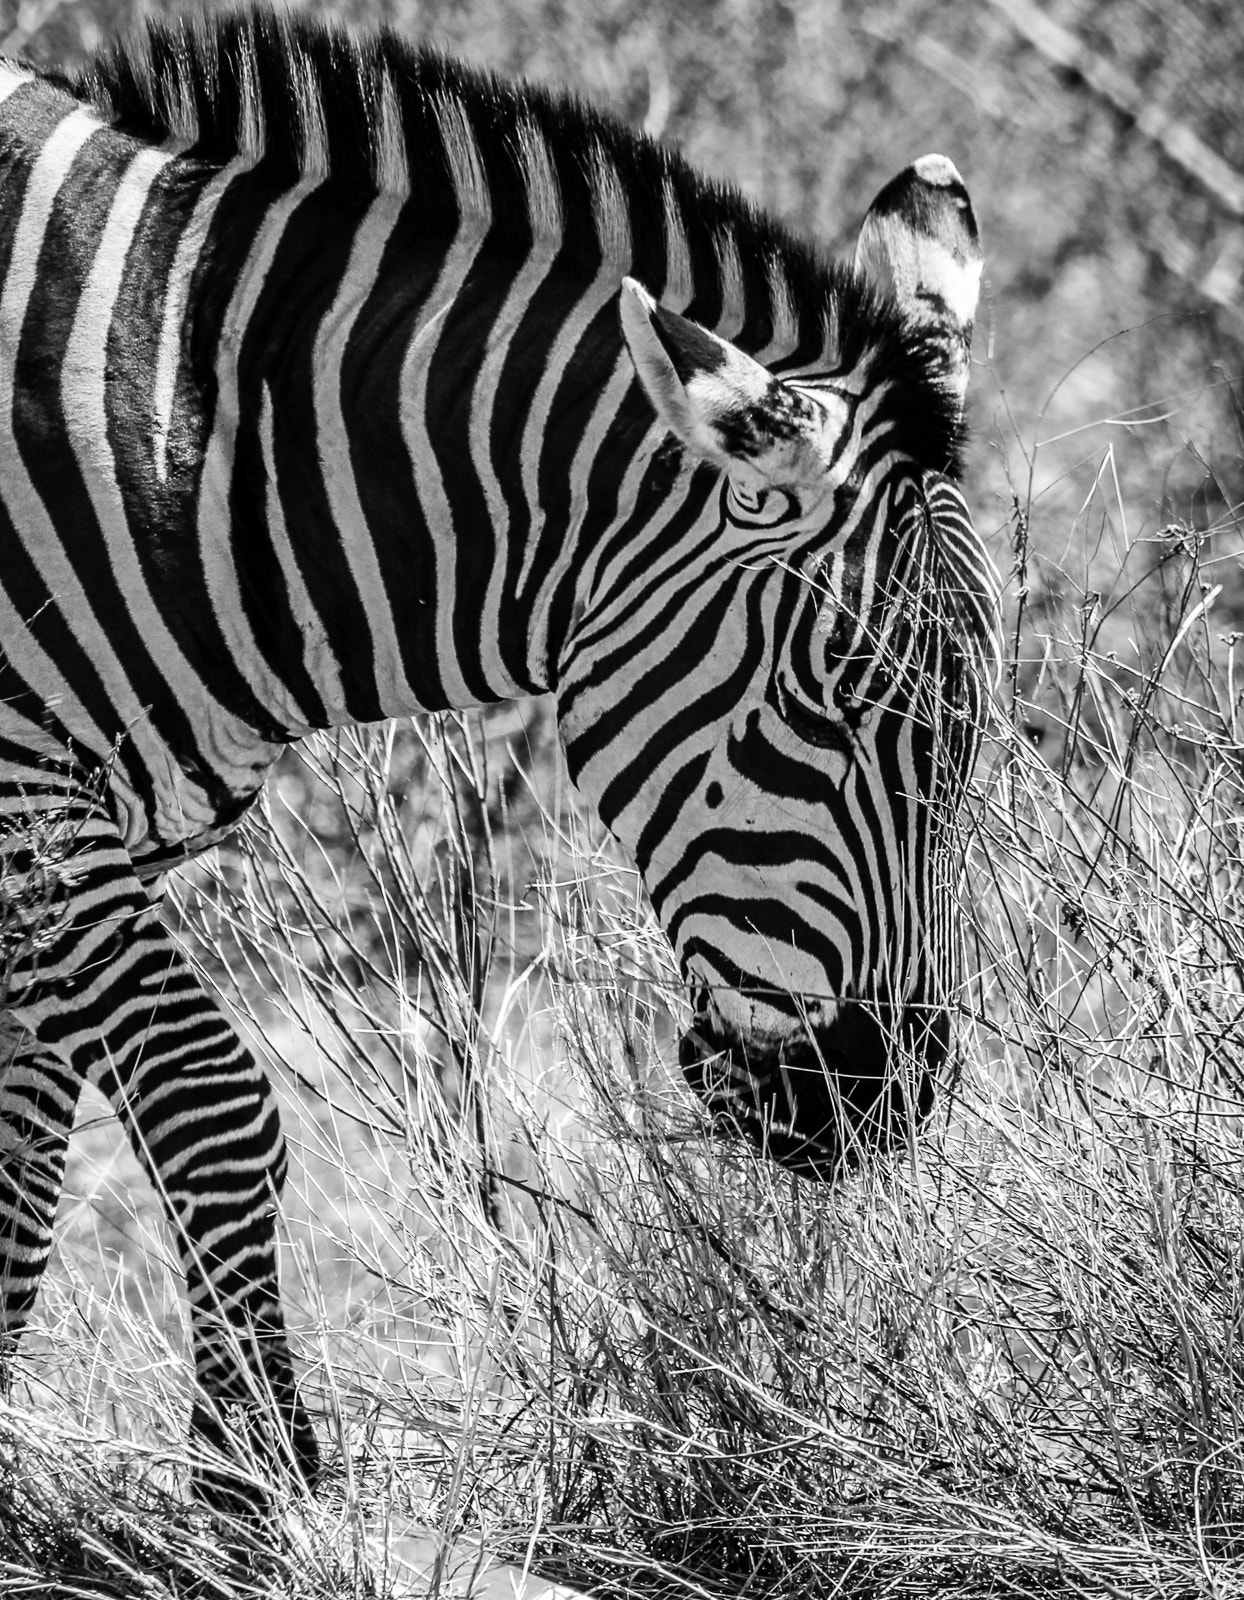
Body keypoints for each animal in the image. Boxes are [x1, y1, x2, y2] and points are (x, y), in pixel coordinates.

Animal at [0, 8, 1001, 1499]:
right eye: (838, 703)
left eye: (971, 723)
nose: (876, 1101)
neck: (198, 432)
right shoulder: (31, 811)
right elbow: (209, 1103)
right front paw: (250, 1498)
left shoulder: (85, 840)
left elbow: (14, 1181)